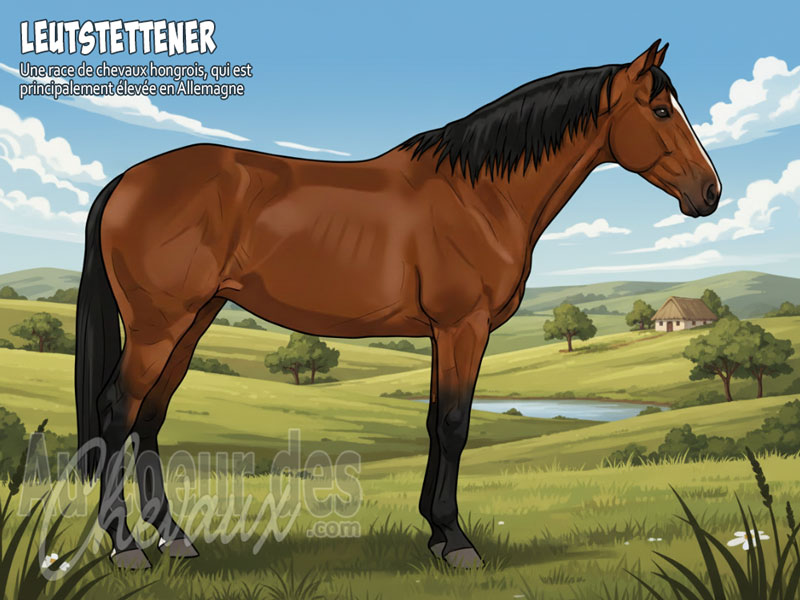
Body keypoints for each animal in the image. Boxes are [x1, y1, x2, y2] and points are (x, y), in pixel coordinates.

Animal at [74, 40, 720, 569]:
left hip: (192, 321)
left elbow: (435, 422)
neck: (480, 194)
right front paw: (457, 544)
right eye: (661, 111)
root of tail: (127, 180)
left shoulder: (444, 334)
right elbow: (456, 425)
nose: (709, 192)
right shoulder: (464, 327)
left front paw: (435, 533)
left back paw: (175, 538)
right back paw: (127, 548)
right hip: (159, 325)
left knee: (151, 416)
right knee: (118, 410)